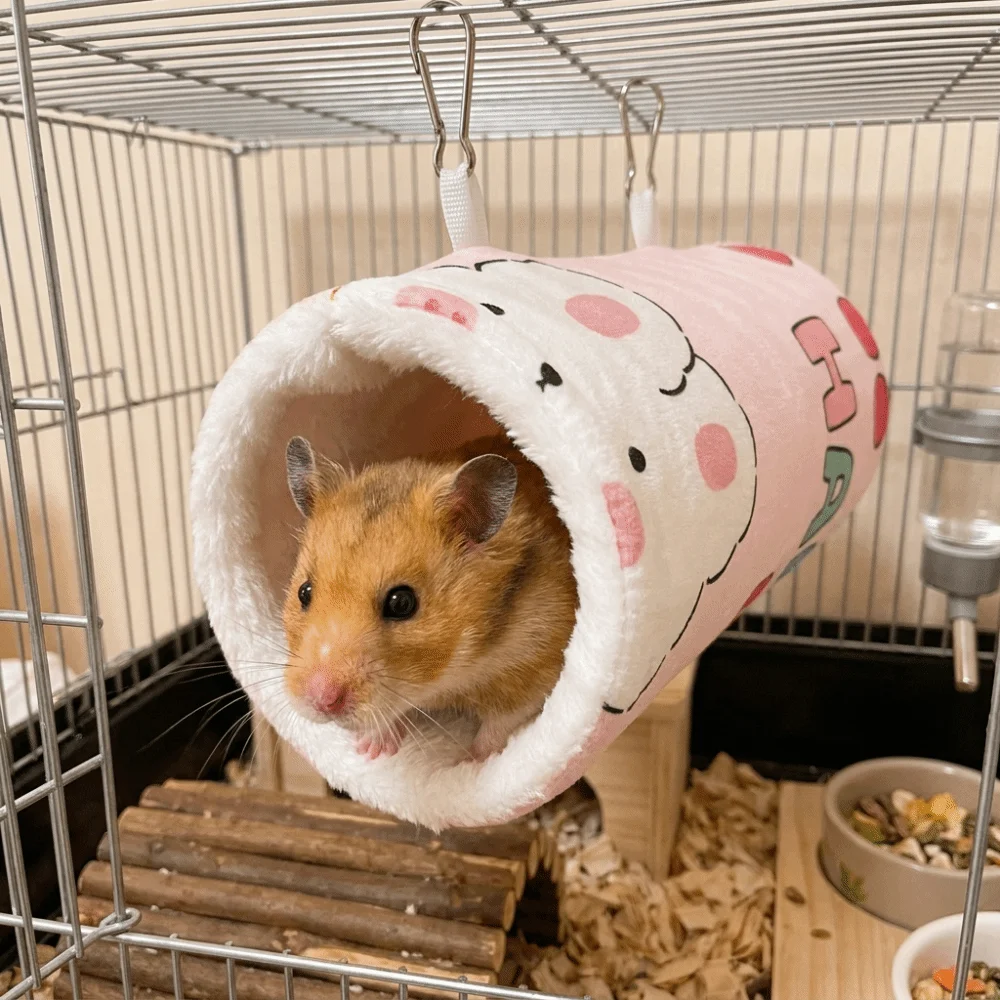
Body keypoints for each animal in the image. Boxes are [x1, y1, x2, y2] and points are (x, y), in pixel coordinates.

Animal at [281, 433, 578, 762]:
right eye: (304, 592)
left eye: (402, 603)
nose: (321, 701)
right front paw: (373, 752)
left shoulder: (541, 657)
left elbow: (501, 721)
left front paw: (470, 761)